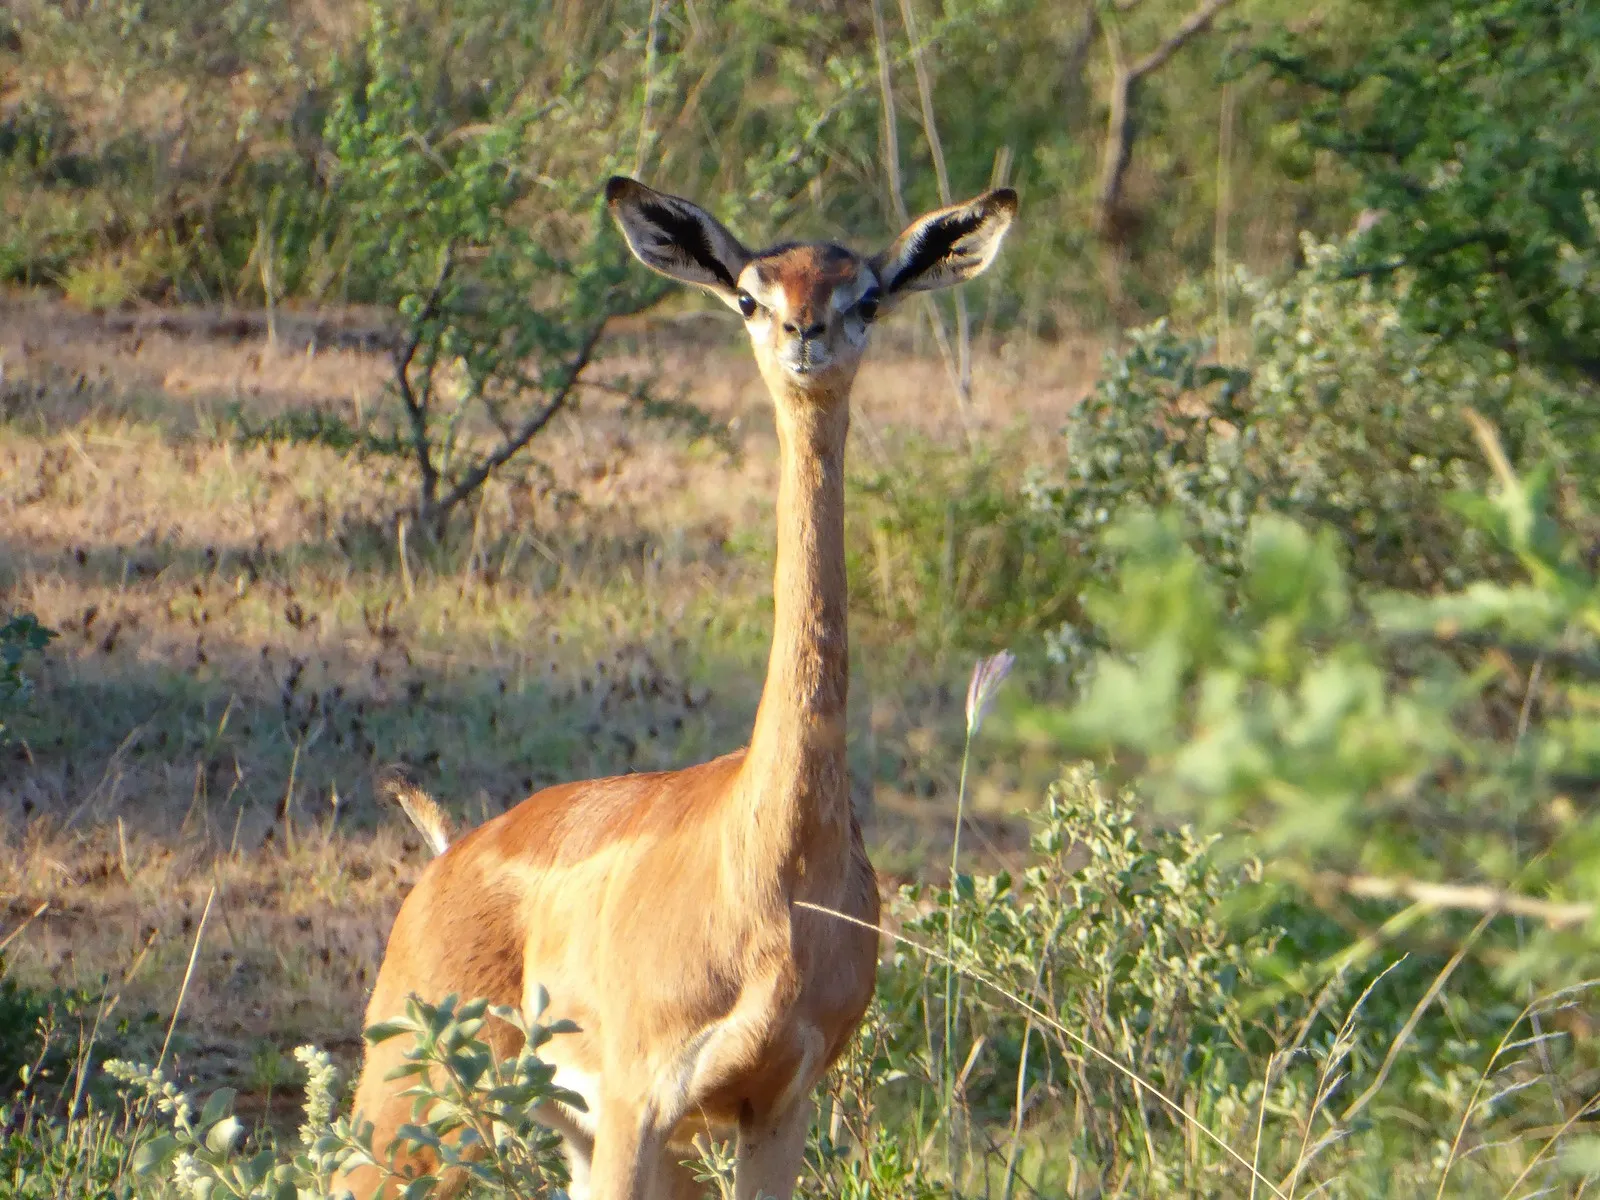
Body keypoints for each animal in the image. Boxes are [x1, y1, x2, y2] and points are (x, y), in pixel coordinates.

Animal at [335, 176, 1017, 1200]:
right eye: (748, 295)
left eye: (866, 295)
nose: (806, 332)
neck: (774, 874)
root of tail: (452, 852)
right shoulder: (640, 1102)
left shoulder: (775, 1105)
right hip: (417, 1105)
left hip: (576, 1132)